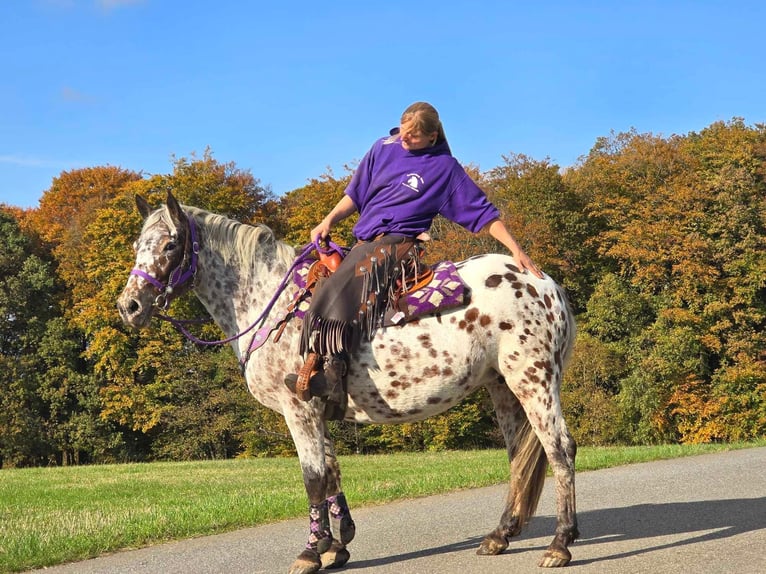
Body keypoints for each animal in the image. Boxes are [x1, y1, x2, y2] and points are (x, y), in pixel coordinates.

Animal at [117, 195, 580, 574]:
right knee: (520, 454)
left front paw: (311, 551)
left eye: (170, 245)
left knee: (560, 448)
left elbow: (313, 477)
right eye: (138, 246)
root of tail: (546, 283)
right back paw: (500, 535)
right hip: (502, 387)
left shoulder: (298, 408)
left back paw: (560, 544)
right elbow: (331, 473)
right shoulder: (318, 409)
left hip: (534, 379)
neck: (270, 303)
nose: (130, 306)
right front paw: (336, 546)